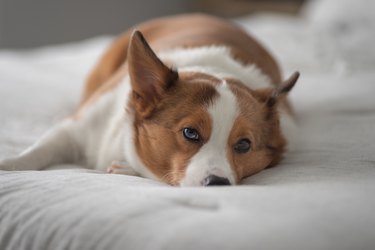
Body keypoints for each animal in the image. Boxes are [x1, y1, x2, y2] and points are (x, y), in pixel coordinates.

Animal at [0, 13, 300, 186]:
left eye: (243, 145)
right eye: (190, 133)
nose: (218, 183)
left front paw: (125, 168)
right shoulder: (76, 129)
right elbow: (41, 149)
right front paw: (10, 165)